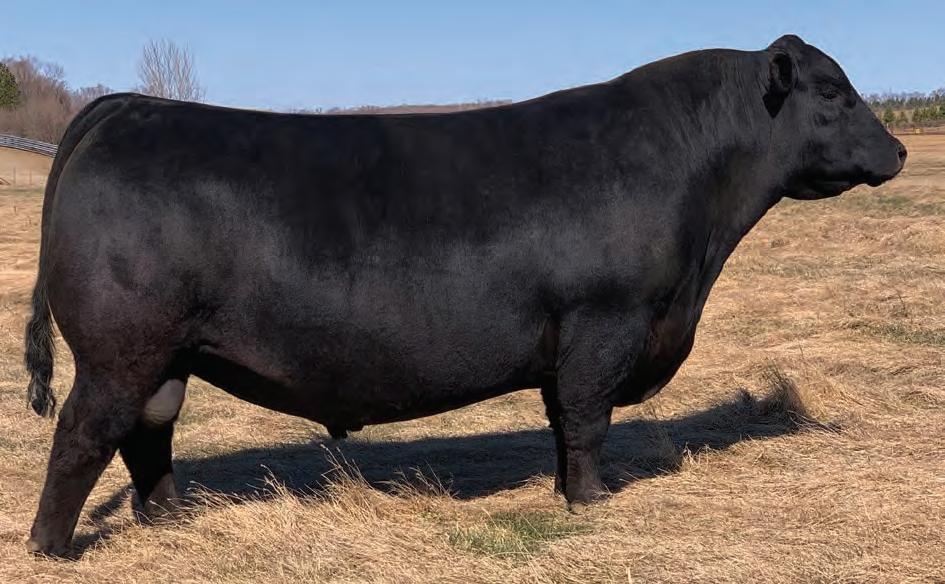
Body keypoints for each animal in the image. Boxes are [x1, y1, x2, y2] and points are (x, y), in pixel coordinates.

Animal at [23, 34, 905, 556]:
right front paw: (593, 501)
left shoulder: (574, 341)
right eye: (832, 92)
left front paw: (568, 490)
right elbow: (587, 420)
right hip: (118, 349)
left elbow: (561, 423)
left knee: (149, 432)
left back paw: (171, 518)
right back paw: (49, 546)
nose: (897, 150)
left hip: (165, 354)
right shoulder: (603, 324)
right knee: (82, 434)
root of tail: (130, 106)